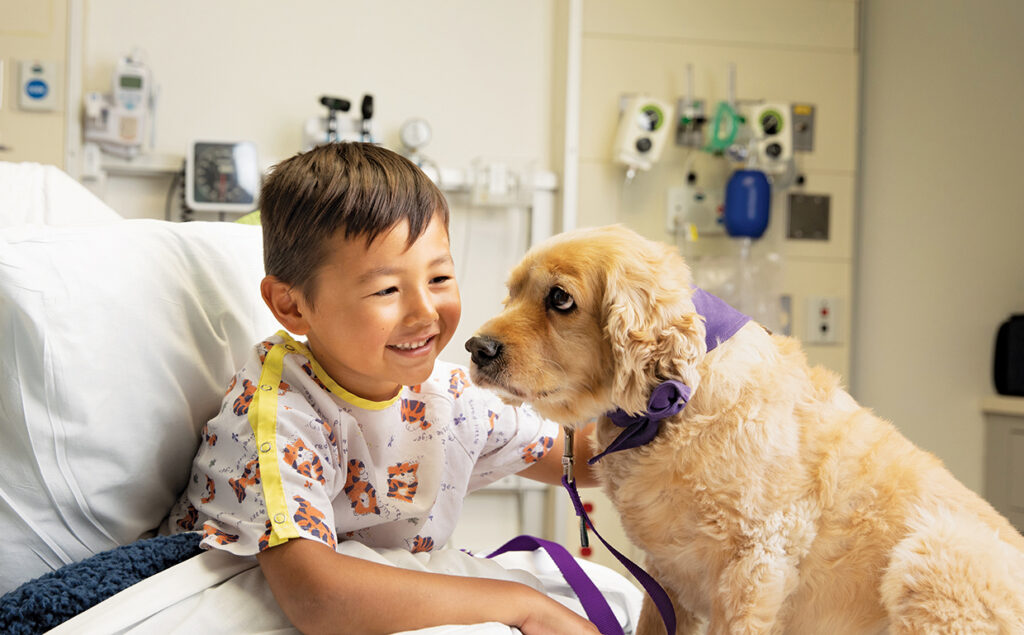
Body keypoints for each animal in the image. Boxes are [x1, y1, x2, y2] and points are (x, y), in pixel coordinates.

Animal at [466, 225, 1024, 630]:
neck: (675, 404)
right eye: (511, 293)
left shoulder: (756, 565)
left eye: (560, 299)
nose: (476, 348)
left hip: (933, 552)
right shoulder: (665, 576)